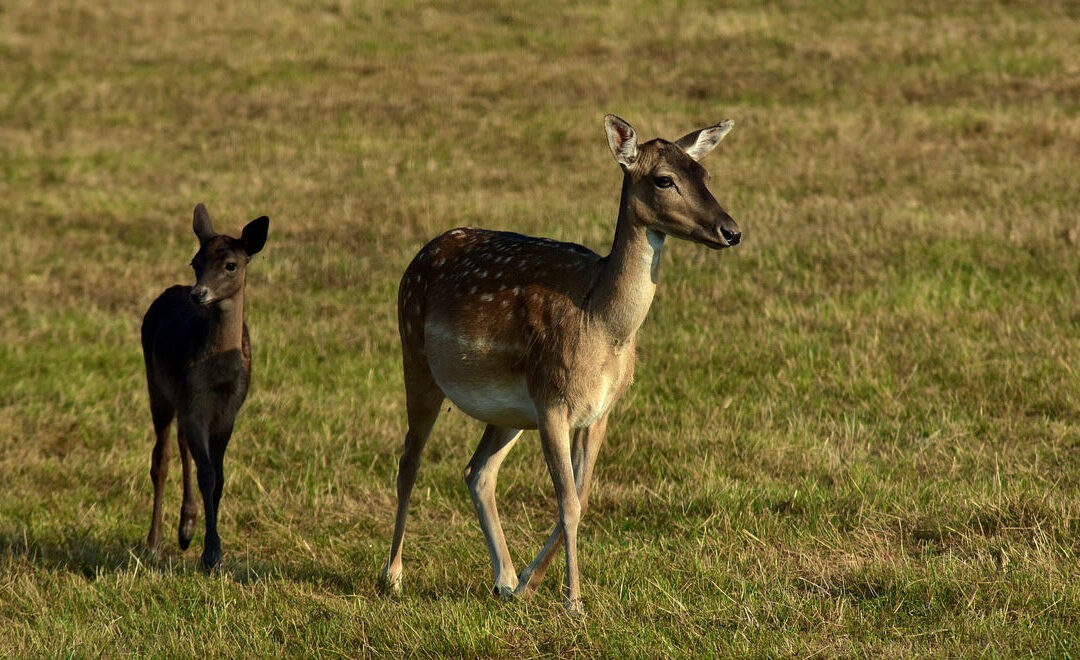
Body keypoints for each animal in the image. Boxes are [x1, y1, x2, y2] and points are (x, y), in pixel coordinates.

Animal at [141, 203, 269, 571]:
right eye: (195, 262)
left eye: (231, 264)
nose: (198, 293)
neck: (217, 378)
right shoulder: (194, 401)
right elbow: (207, 474)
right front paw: (211, 553)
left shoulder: (228, 412)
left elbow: (220, 476)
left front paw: (205, 544)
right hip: (157, 384)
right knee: (161, 457)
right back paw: (154, 544)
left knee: (182, 443)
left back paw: (186, 528)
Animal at [380, 114, 740, 612]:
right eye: (664, 179)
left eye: (704, 174)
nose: (731, 230)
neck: (601, 325)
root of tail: (418, 256)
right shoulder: (552, 399)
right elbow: (567, 502)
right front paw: (574, 602)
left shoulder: (600, 411)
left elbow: (583, 497)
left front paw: (531, 585)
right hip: (415, 356)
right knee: (409, 461)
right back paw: (392, 576)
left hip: (509, 410)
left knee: (477, 471)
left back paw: (505, 580)